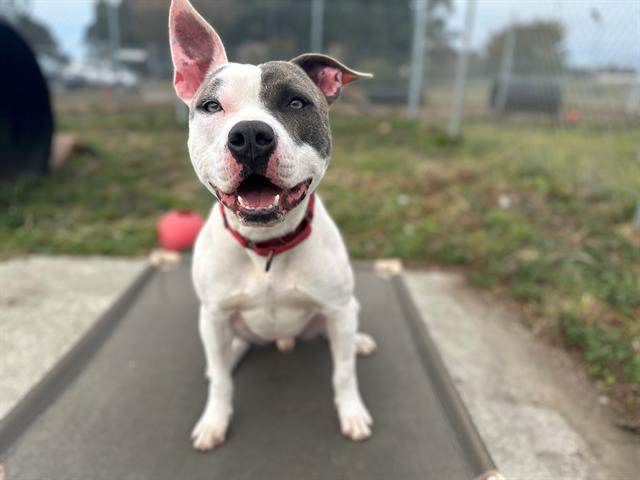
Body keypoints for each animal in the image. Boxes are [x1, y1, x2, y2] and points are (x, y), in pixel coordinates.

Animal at [170, 0, 378, 450]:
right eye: (212, 107)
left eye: (296, 103)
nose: (250, 135)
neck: (265, 245)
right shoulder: (213, 314)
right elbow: (222, 383)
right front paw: (215, 419)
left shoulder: (338, 309)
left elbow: (343, 373)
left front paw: (352, 412)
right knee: (225, 358)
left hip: (342, 312)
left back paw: (359, 342)